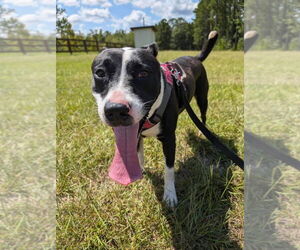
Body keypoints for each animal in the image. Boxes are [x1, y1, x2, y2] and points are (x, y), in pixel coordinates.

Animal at [91, 30, 218, 207]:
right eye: (100, 73)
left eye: (143, 73)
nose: (116, 110)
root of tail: (195, 57)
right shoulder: (136, 136)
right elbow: (138, 154)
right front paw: (140, 171)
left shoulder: (169, 140)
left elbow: (169, 169)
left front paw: (170, 195)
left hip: (202, 97)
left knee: (203, 115)